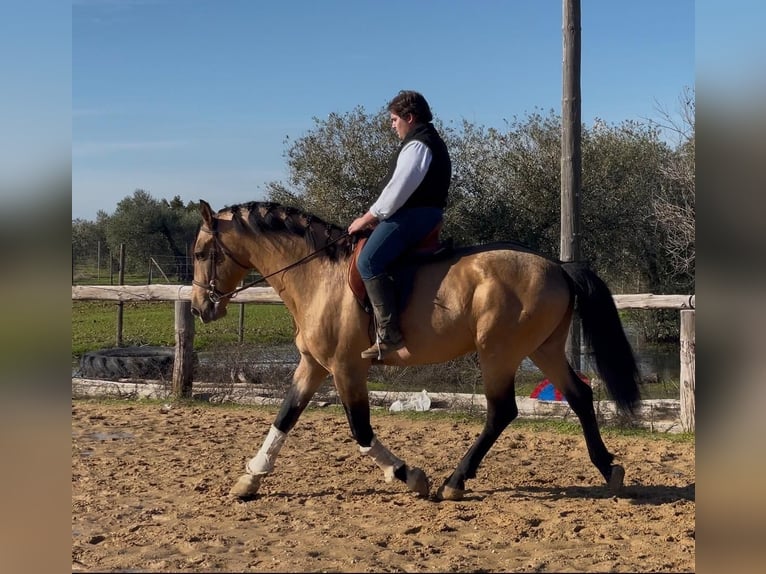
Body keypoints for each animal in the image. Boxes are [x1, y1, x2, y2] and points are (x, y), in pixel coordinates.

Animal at [190, 199, 641, 501]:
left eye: (200, 253)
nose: (200, 308)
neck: (317, 274)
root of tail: (558, 266)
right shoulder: (313, 365)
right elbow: (284, 417)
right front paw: (250, 478)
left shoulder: (345, 368)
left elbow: (361, 430)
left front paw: (410, 476)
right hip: (542, 349)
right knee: (579, 396)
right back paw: (609, 469)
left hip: (498, 352)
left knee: (502, 411)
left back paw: (454, 482)